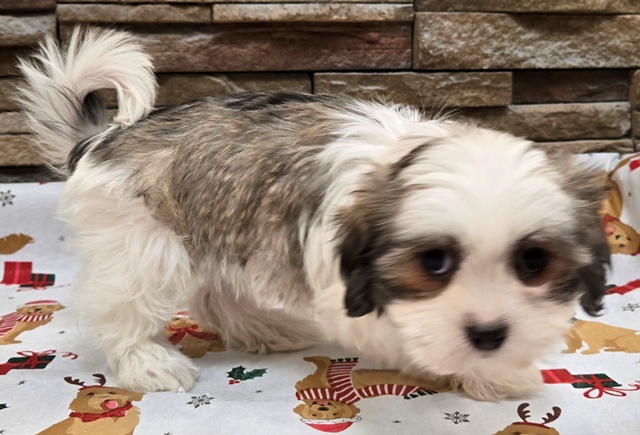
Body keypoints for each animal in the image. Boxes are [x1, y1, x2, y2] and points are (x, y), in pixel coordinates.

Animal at [16, 28, 610, 401]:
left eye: (533, 262)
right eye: (434, 263)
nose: (489, 334)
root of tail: (104, 138)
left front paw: (495, 369)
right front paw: (479, 370)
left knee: (215, 292)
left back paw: (263, 329)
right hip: (145, 242)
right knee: (124, 308)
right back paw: (148, 362)